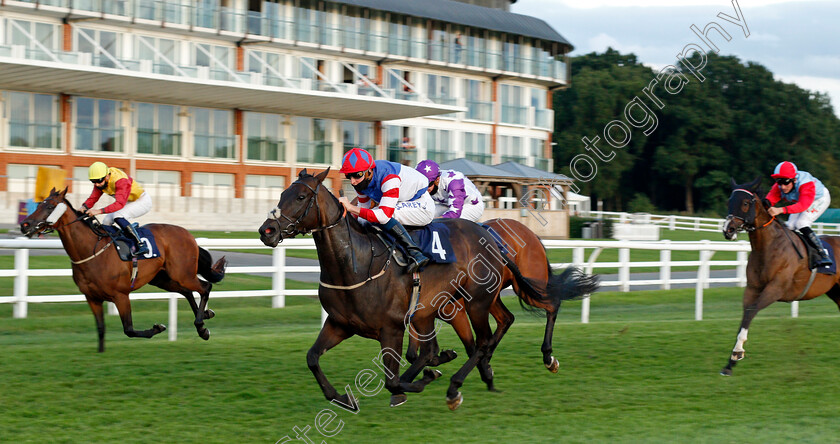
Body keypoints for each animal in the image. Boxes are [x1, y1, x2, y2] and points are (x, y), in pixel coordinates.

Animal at [20, 187, 226, 350]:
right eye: (37, 205)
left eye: (49, 206)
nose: (25, 225)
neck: (91, 251)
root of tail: (188, 234)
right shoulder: (92, 298)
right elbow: (101, 329)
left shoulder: (120, 295)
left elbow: (129, 329)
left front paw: (158, 328)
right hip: (162, 278)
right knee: (187, 292)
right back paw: (205, 316)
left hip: (182, 274)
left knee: (204, 287)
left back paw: (201, 326)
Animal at [256, 169, 572, 410]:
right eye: (281, 195)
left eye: (300, 197)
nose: (266, 230)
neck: (357, 263)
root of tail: (493, 239)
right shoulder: (341, 324)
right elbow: (312, 358)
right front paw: (342, 398)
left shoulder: (394, 327)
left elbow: (394, 377)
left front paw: (422, 380)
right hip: (470, 303)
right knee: (498, 327)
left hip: (485, 299)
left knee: (517, 323)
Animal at [720, 177, 840, 374]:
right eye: (729, 202)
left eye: (745, 203)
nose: (727, 230)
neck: (768, 247)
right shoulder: (752, 288)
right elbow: (745, 315)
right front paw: (731, 361)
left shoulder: (775, 289)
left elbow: (751, 311)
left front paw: (736, 353)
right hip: (836, 291)